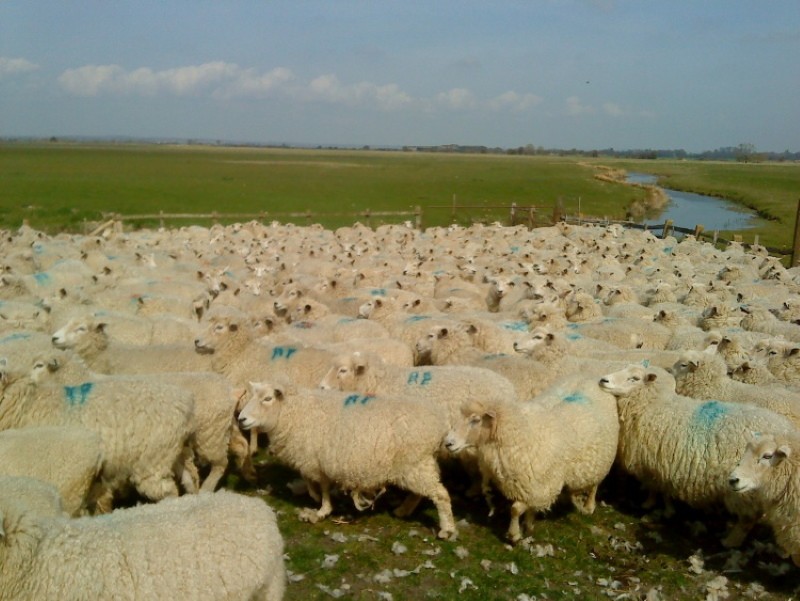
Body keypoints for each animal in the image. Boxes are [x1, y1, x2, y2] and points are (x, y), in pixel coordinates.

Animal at [0, 356, 195, 510]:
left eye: (39, 365)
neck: (27, 404)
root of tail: (185, 402)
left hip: (152, 460)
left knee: (167, 490)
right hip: (174, 452)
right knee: (191, 477)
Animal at [236, 378, 456, 536]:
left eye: (267, 399)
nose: (241, 419)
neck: (298, 411)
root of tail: (440, 422)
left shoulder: (315, 460)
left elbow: (320, 486)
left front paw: (321, 509)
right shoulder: (319, 460)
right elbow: (315, 483)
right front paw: (319, 502)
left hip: (414, 463)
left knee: (440, 494)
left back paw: (447, 529)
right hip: (417, 464)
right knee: (422, 492)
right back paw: (403, 510)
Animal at [600, 364, 792, 548]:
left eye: (634, 378)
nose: (603, 380)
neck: (652, 405)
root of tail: (787, 430)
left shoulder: (654, 461)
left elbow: (655, 487)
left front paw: (651, 505)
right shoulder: (664, 465)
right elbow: (662, 489)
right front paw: (664, 507)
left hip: (744, 489)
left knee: (747, 519)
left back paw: (730, 541)